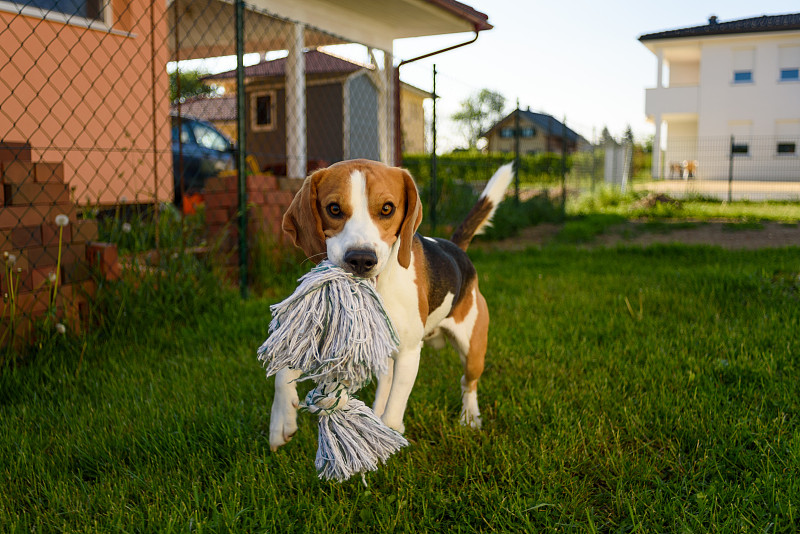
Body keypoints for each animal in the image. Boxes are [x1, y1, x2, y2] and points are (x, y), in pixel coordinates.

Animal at [272, 159, 516, 452]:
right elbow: (283, 369)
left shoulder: (410, 352)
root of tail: (457, 249)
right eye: (334, 209)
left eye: (387, 208)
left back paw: (469, 417)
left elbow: (394, 410)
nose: (361, 259)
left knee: (468, 382)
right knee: (386, 383)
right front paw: (281, 422)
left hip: (473, 348)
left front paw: (388, 437)